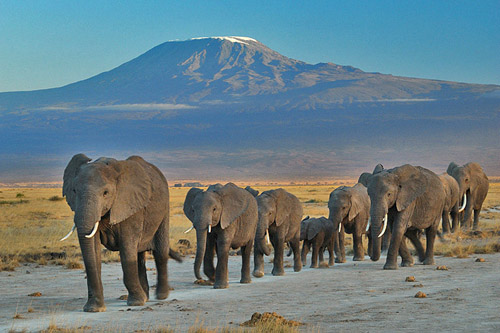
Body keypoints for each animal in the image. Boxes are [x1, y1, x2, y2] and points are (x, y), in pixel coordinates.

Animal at [61, 153, 181, 312]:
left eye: (105, 193)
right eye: (74, 191)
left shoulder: (131, 206)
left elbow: (127, 249)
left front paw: (136, 303)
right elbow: (94, 251)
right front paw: (94, 308)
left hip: (164, 209)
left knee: (160, 252)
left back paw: (160, 296)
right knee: (139, 256)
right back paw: (146, 297)